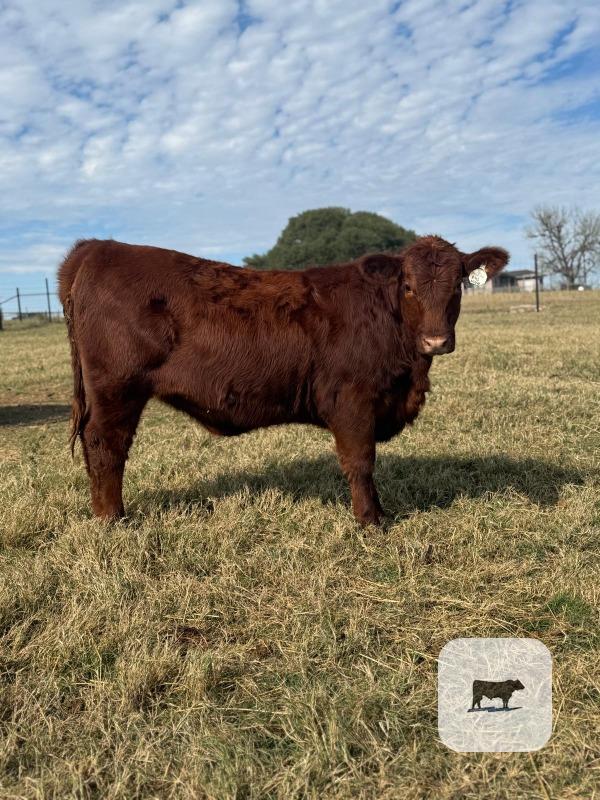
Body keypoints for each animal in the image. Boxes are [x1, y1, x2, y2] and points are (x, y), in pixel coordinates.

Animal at [58, 236, 508, 525]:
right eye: (409, 287)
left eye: (458, 285)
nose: (436, 340)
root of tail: (99, 247)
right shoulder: (351, 399)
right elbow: (360, 462)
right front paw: (370, 521)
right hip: (117, 389)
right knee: (105, 445)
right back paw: (113, 520)